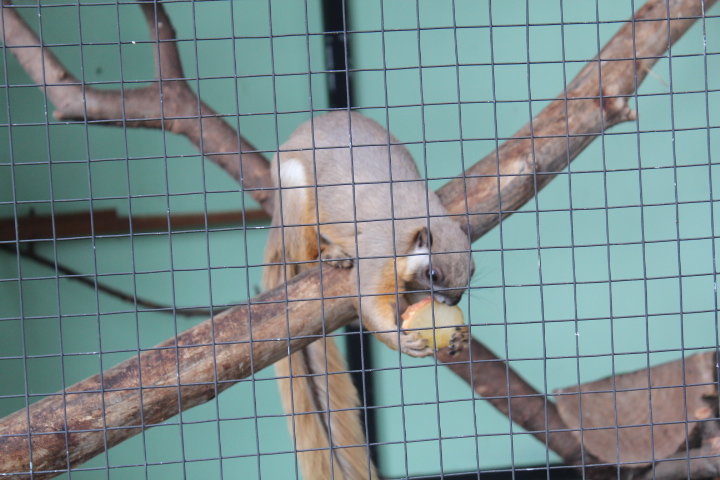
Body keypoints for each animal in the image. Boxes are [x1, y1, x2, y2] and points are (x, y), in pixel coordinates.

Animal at [262, 111, 474, 480]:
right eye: (434, 274)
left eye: (472, 271)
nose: (451, 303)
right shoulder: (380, 253)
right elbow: (369, 302)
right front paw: (400, 341)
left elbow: (406, 303)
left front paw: (461, 335)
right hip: (295, 187)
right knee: (303, 251)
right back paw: (329, 254)